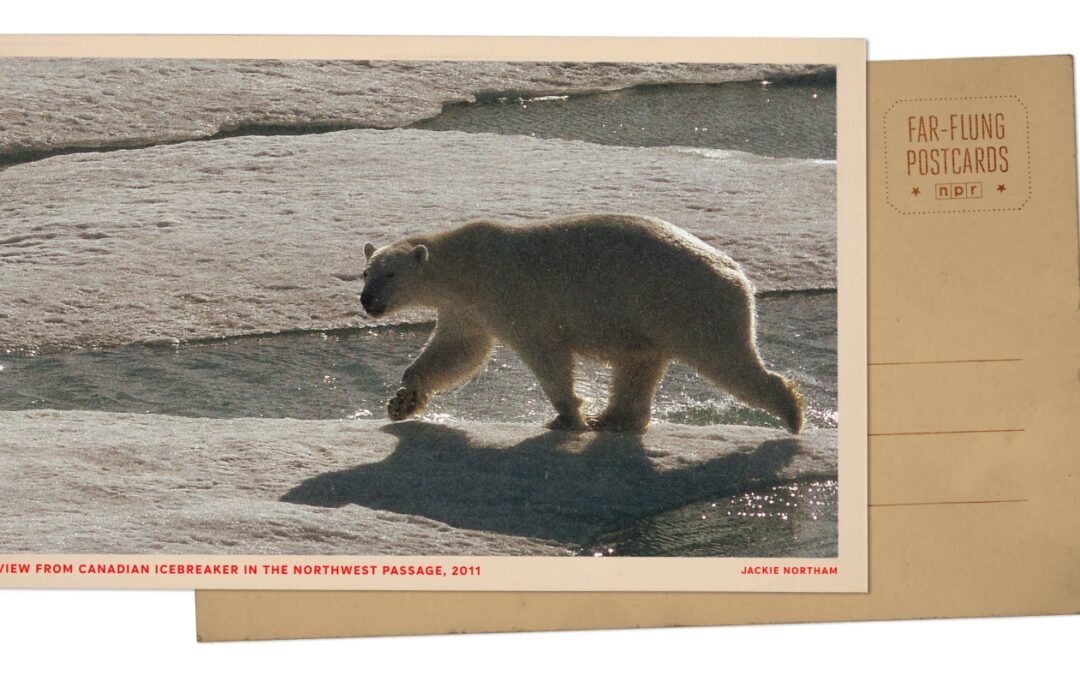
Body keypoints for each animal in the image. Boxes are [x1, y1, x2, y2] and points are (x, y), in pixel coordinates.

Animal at [360, 213, 804, 434]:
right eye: (366, 273)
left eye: (390, 274)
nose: (367, 301)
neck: (467, 265)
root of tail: (739, 275)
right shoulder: (468, 309)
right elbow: (456, 351)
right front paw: (403, 401)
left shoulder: (511, 295)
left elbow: (546, 355)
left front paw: (568, 418)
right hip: (652, 319)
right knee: (639, 365)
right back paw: (616, 420)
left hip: (688, 305)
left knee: (728, 361)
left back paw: (792, 412)